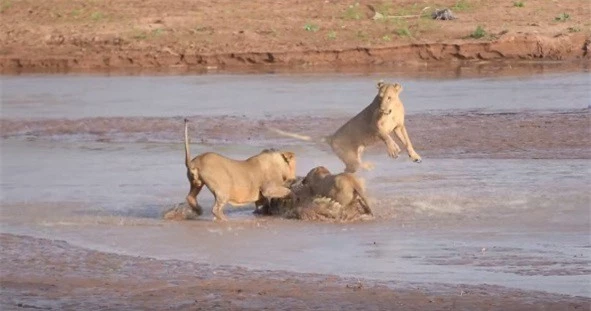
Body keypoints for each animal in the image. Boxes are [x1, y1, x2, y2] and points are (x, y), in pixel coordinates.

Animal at [270, 80, 424, 173]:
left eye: (389, 97)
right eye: (380, 97)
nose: (382, 109)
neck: (392, 110)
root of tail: (331, 137)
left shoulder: (399, 127)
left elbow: (407, 142)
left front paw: (415, 157)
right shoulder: (374, 125)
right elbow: (387, 137)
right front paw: (393, 150)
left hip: (357, 152)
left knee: (350, 168)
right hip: (348, 155)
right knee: (353, 166)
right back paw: (367, 166)